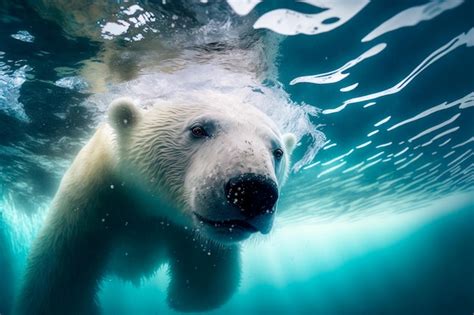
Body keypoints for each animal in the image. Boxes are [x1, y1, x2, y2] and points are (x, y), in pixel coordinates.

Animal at [16, 94, 296, 315]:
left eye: (278, 152)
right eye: (198, 130)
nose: (254, 191)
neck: (146, 202)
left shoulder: (183, 229)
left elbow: (207, 276)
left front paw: (183, 299)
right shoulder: (93, 199)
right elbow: (59, 273)